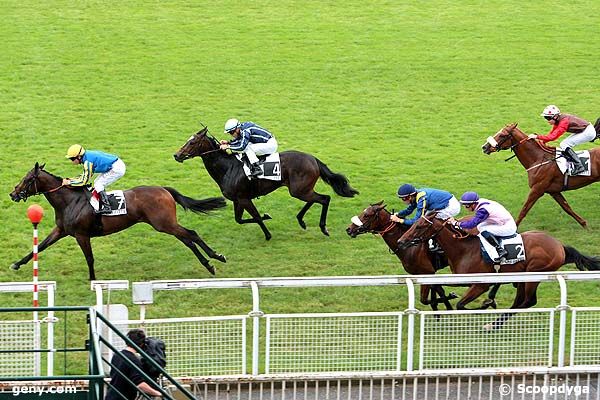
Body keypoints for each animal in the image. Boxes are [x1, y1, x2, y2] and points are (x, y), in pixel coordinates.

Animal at [9, 164, 227, 280]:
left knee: (192, 234)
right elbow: (39, 247)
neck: (69, 201)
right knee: (187, 239)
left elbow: (89, 258)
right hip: (166, 225)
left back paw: (216, 257)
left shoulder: (81, 235)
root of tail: (164, 189)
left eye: (28, 179)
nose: (13, 194)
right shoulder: (61, 230)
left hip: (163, 224)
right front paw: (17, 264)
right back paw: (209, 264)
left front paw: (93, 280)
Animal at [176, 127, 358, 241]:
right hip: (301, 189)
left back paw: (323, 227)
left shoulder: (244, 198)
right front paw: (266, 218)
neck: (228, 168)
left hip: (298, 189)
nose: (176, 155)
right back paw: (301, 220)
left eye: (192, 142)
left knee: (324, 198)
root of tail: (313, 159)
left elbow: (255, 217)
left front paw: (267, 233)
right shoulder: (237, 200)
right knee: (315, 199)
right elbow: (239, 220)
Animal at [344, 202, 504, 310]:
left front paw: (448, 302)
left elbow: (427, 298)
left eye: (367, 215)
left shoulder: (427, 271)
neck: (409, 246)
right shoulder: (426, 274)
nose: (349, 229)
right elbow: (436, 292)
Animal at [398, 211, 600, 314]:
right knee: (521, 301)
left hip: (534, 274)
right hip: (522, 276)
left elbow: (462, 305)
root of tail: (560, 246)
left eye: (420, 226)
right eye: (414, 223)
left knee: (528, 301)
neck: (463, 249)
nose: (401, 241)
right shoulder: (463, 278)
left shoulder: (481, 284)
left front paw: (486, 304)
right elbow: (439, 286)